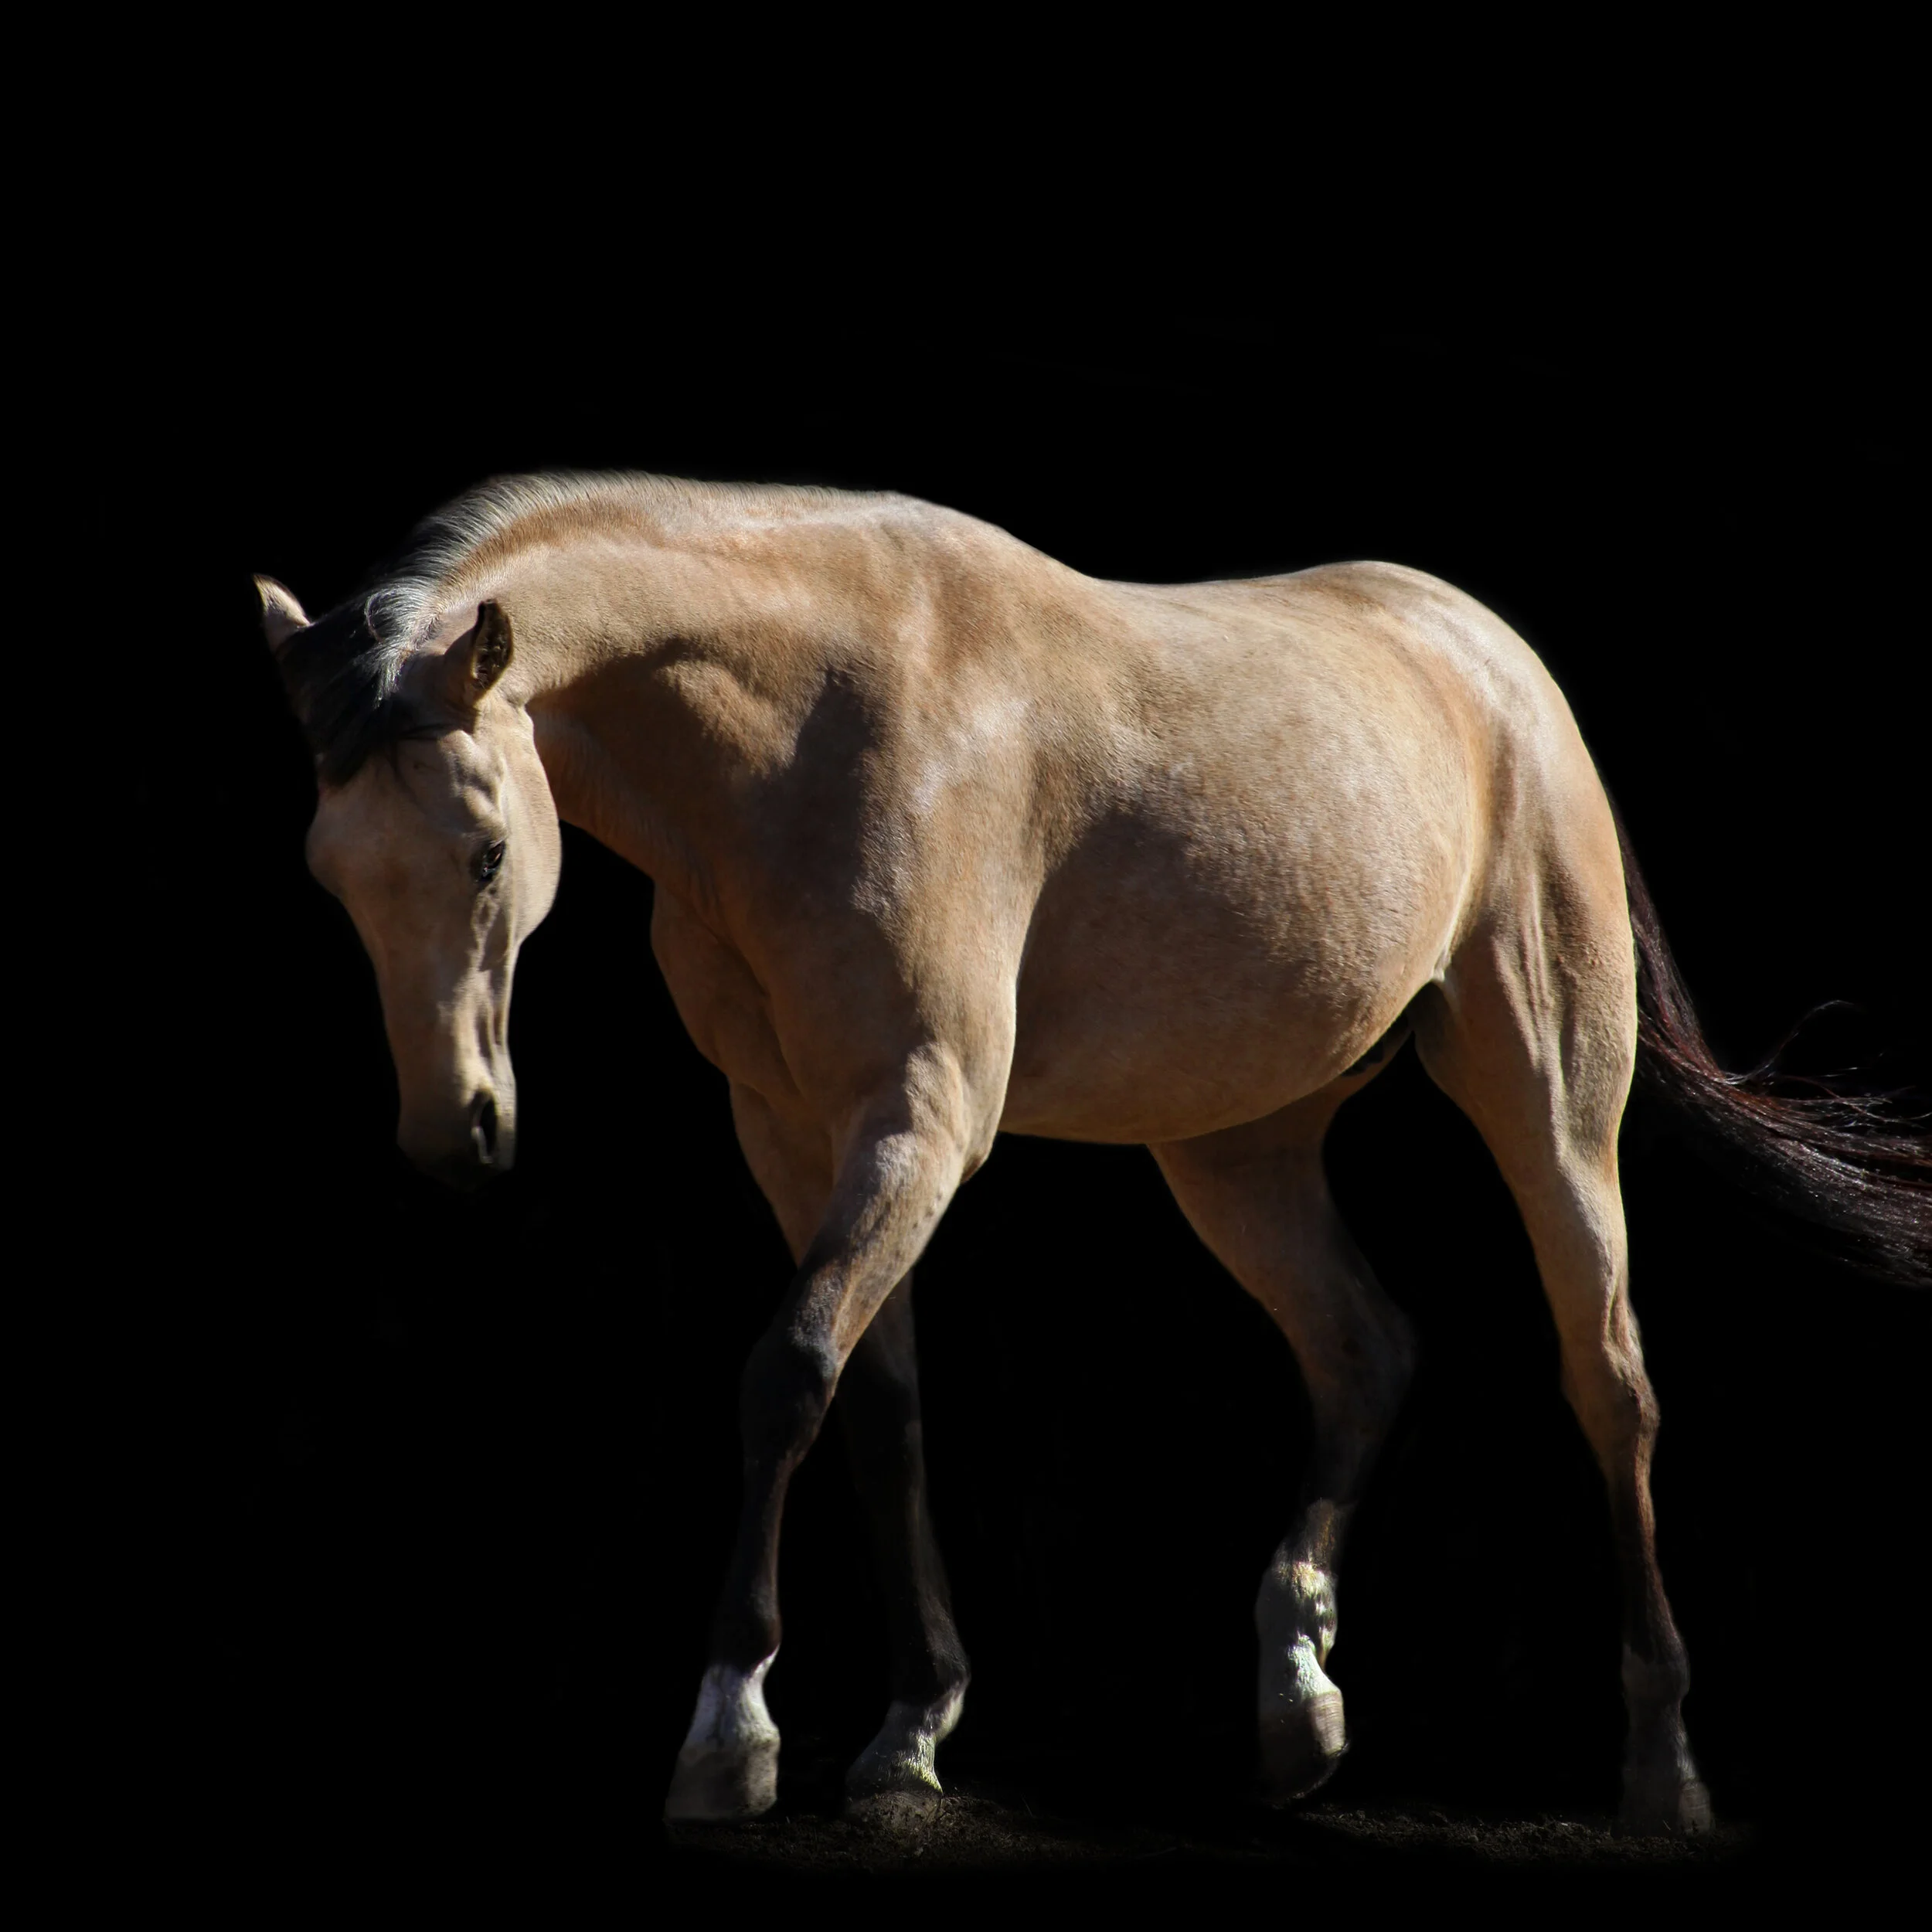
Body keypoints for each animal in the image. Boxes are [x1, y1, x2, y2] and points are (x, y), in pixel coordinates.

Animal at [256, 472, 1928, 1838]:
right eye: (329, 876)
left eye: (486, 850)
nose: (455, 1132)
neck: (810, 722)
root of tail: (1494, 661)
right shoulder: (793, 1129)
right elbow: (880, 1404)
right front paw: (909, 1730)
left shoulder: (921, 1117)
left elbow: (786, 1373)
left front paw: (731, 1734)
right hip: (1234, 1149)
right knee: (1366, 1347)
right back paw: (1295, 1703)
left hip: (1547, 1097)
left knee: (1608, 1380)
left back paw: (1660, 1765)